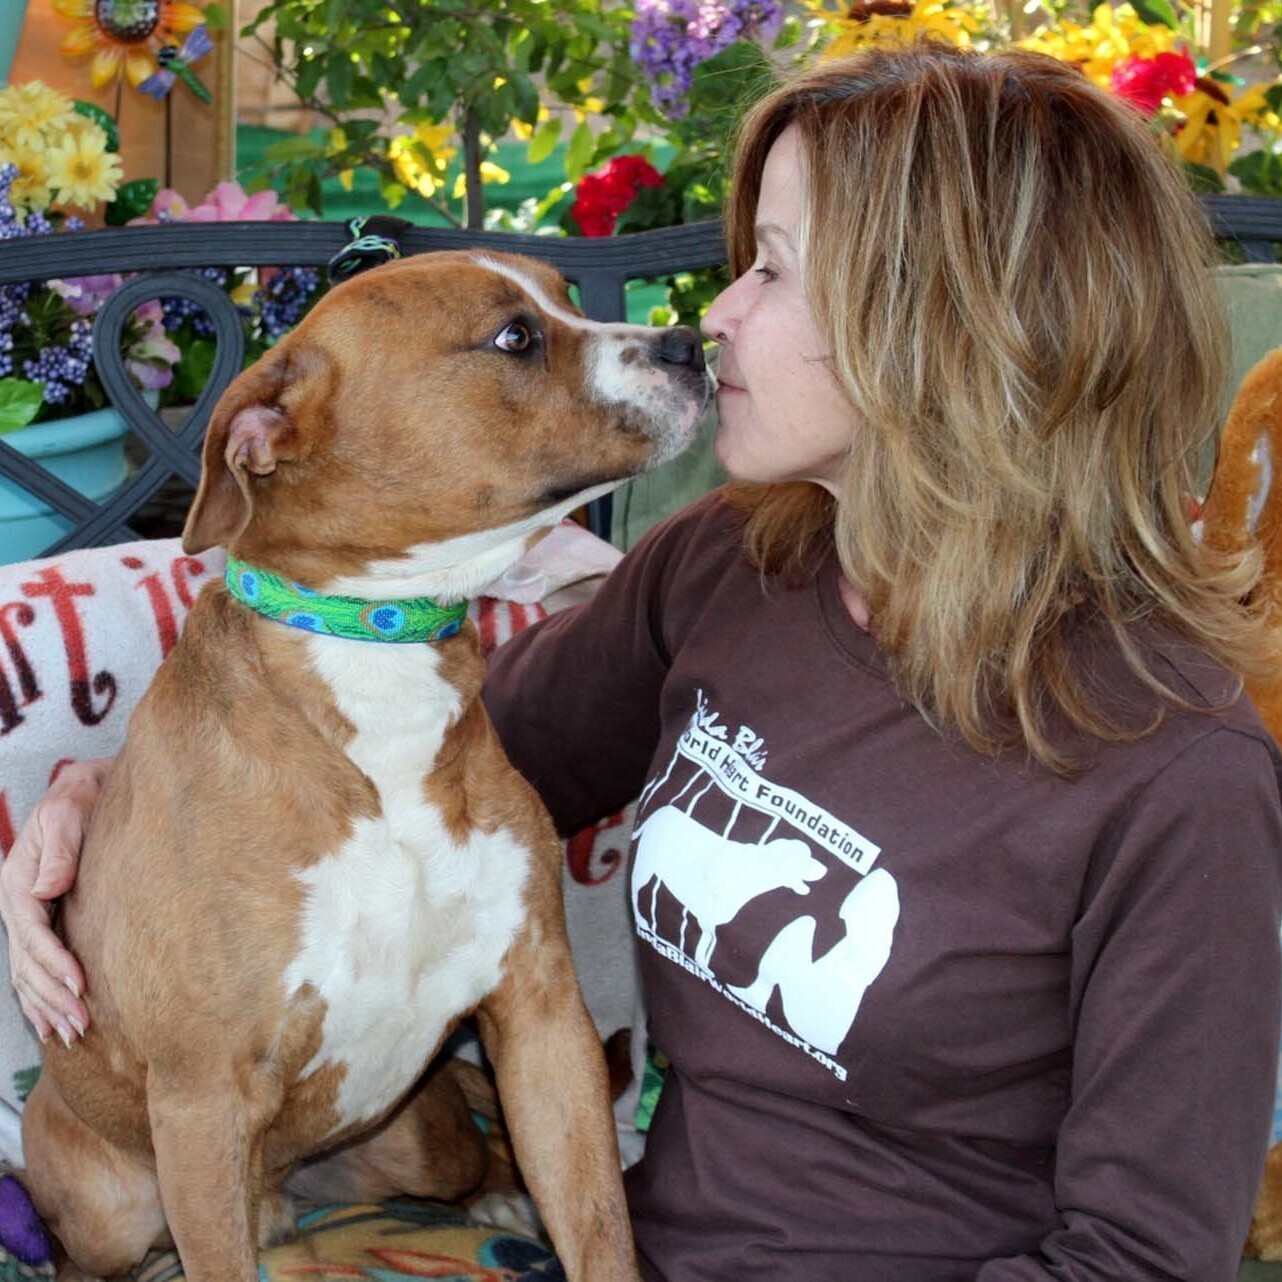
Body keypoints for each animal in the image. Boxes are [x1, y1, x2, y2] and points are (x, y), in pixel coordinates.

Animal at [20, 249, 712, 1282]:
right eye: (514, 335)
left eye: (563, 295)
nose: (690, 344)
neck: (379, 650)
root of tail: (285, 1199)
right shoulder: (200, 1099)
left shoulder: (541, 1016)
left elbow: (597, 1223)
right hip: (117, 1203)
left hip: (421, 1134)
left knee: (472, 1156)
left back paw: (497, 1197)